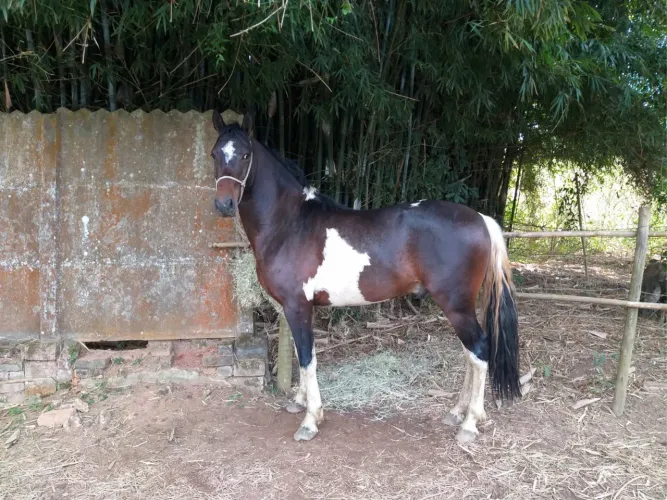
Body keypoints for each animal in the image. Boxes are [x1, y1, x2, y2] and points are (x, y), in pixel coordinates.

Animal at [210, 109, 521, 444]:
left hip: (456, 306)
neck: (289, 223)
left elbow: (307, 358)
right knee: (470, 354)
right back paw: (456, 413)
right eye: (215, 153)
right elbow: (301, 352)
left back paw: (469, 423)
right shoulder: (295, 308)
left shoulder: (297, 304)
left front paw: (310, 420)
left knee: (479, 351)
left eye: (244, 155)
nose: (224, 205)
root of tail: (481, 219)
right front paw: (300, 402)